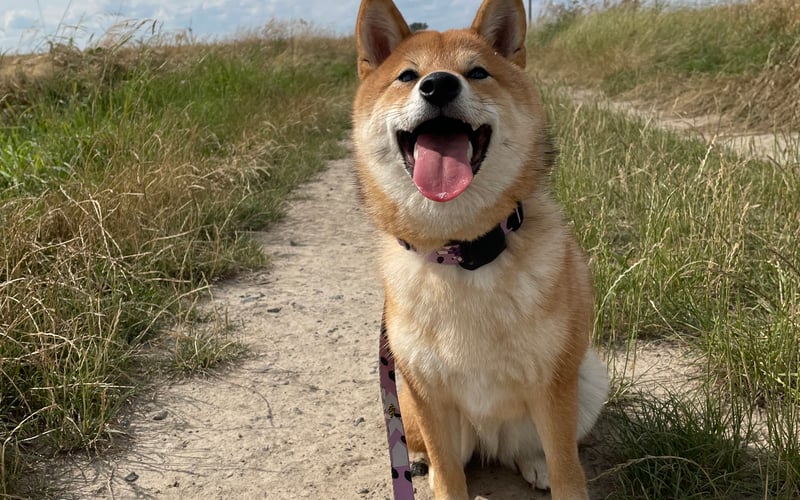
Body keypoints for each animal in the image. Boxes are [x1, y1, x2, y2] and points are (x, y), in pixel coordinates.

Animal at [354, 0, 608, 498]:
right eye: (408, 75)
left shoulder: (553, 382)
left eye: (476, 72)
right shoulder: (427, 393)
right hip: (407, 405)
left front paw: (554, 472)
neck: (462, 254)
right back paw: (421, 465)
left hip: (586, 381)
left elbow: (568, 471)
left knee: (529, 448)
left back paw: (533, 464)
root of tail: (490, 442)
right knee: (433, 452)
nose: (439, 84)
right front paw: (440, 479)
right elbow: (451, 473)